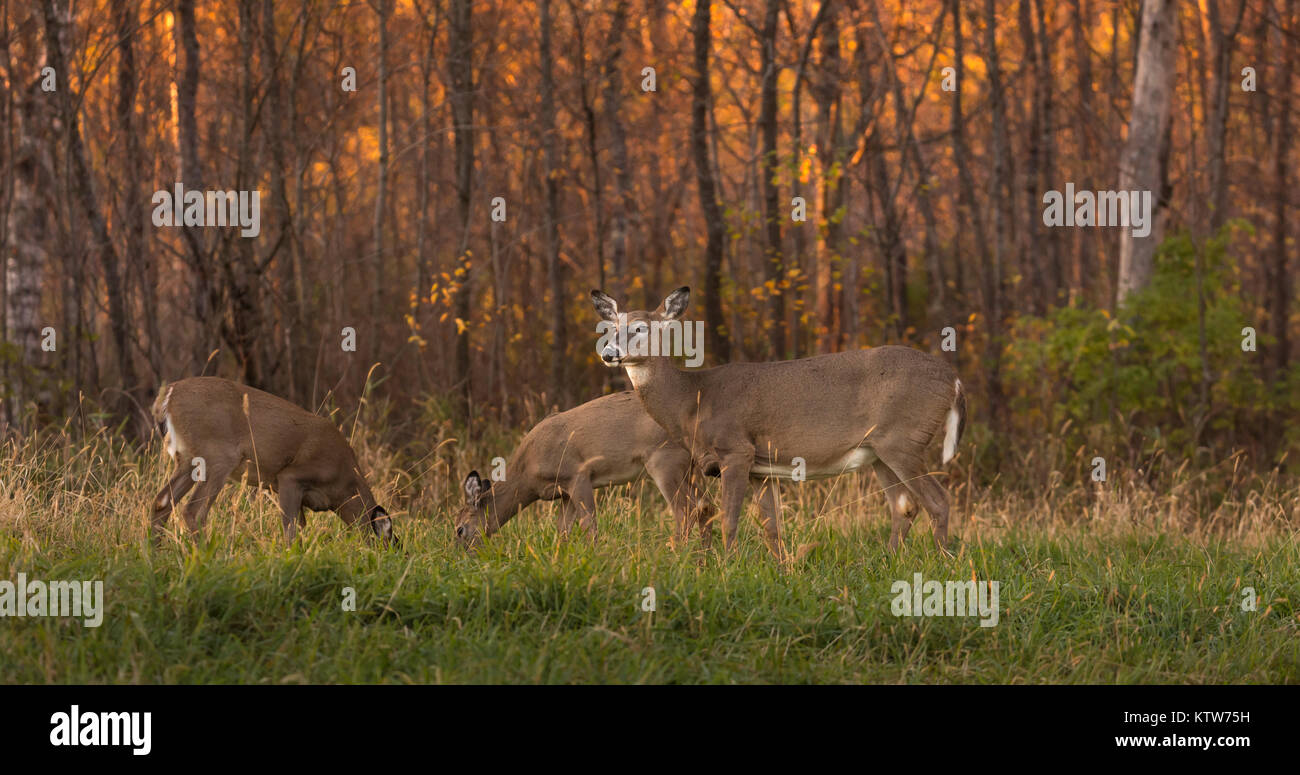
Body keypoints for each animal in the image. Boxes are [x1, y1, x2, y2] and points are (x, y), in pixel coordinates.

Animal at [148, 379, 392, 548]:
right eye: (390, 545)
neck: (344, 484)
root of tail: (167, 398)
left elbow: (299, 527)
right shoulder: (290, 477)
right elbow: (290, 529)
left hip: (187, 460)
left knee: (162, 502)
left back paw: (155, 557)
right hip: (217, 457)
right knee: (193, 511)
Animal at [457, 392, 717, 551]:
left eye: (459, 529)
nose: (461, 557)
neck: (527, 474)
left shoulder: (577, 475)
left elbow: (588, 524)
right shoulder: (563, 492)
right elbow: (562, 529)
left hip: (664, 460)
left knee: (685, 509)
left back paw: (676, 553)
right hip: (686, 468)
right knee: (706, 505)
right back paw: (703, 560)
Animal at [590, 287, 967, 559]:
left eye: (640, 328)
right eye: (611, 329)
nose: (608, 353)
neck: (692, 400)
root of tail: (953, 379)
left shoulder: (736, 450)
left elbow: (729, 518)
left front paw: (728, 566)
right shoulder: (762, 466)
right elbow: (770, 524)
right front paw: (780, 567)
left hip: (903, 439)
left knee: (938, 501)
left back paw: (942, 563)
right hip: (878, 451)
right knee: (904, 506)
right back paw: (889, 562)